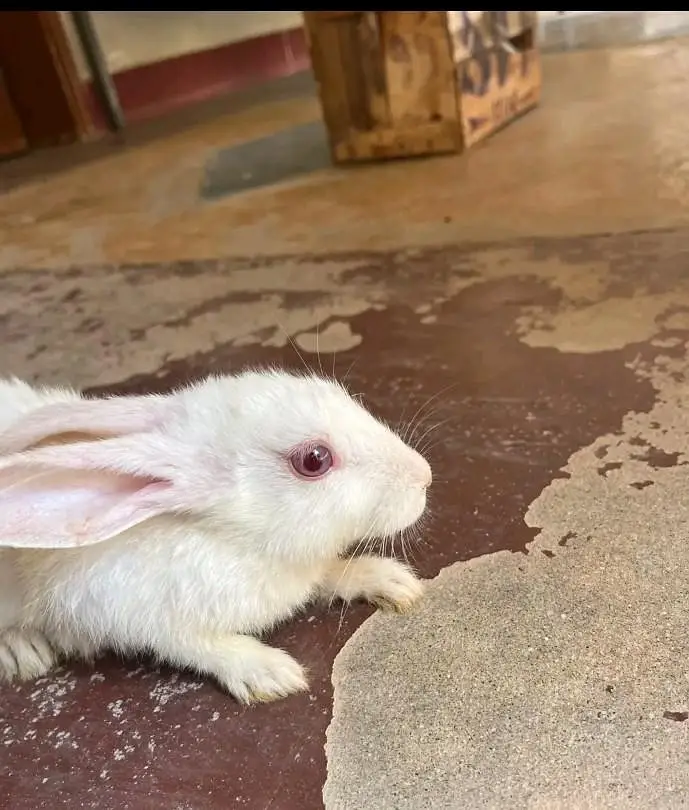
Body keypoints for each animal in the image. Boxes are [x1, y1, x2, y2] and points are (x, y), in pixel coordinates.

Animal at [0, 370, 431, 703]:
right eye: (314, 460)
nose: (424, 475)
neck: (234, 539)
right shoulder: (135, 615)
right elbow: (200, 647)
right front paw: (270, 673)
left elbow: (330, 573)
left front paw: (388, 580)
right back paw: (22, 650)